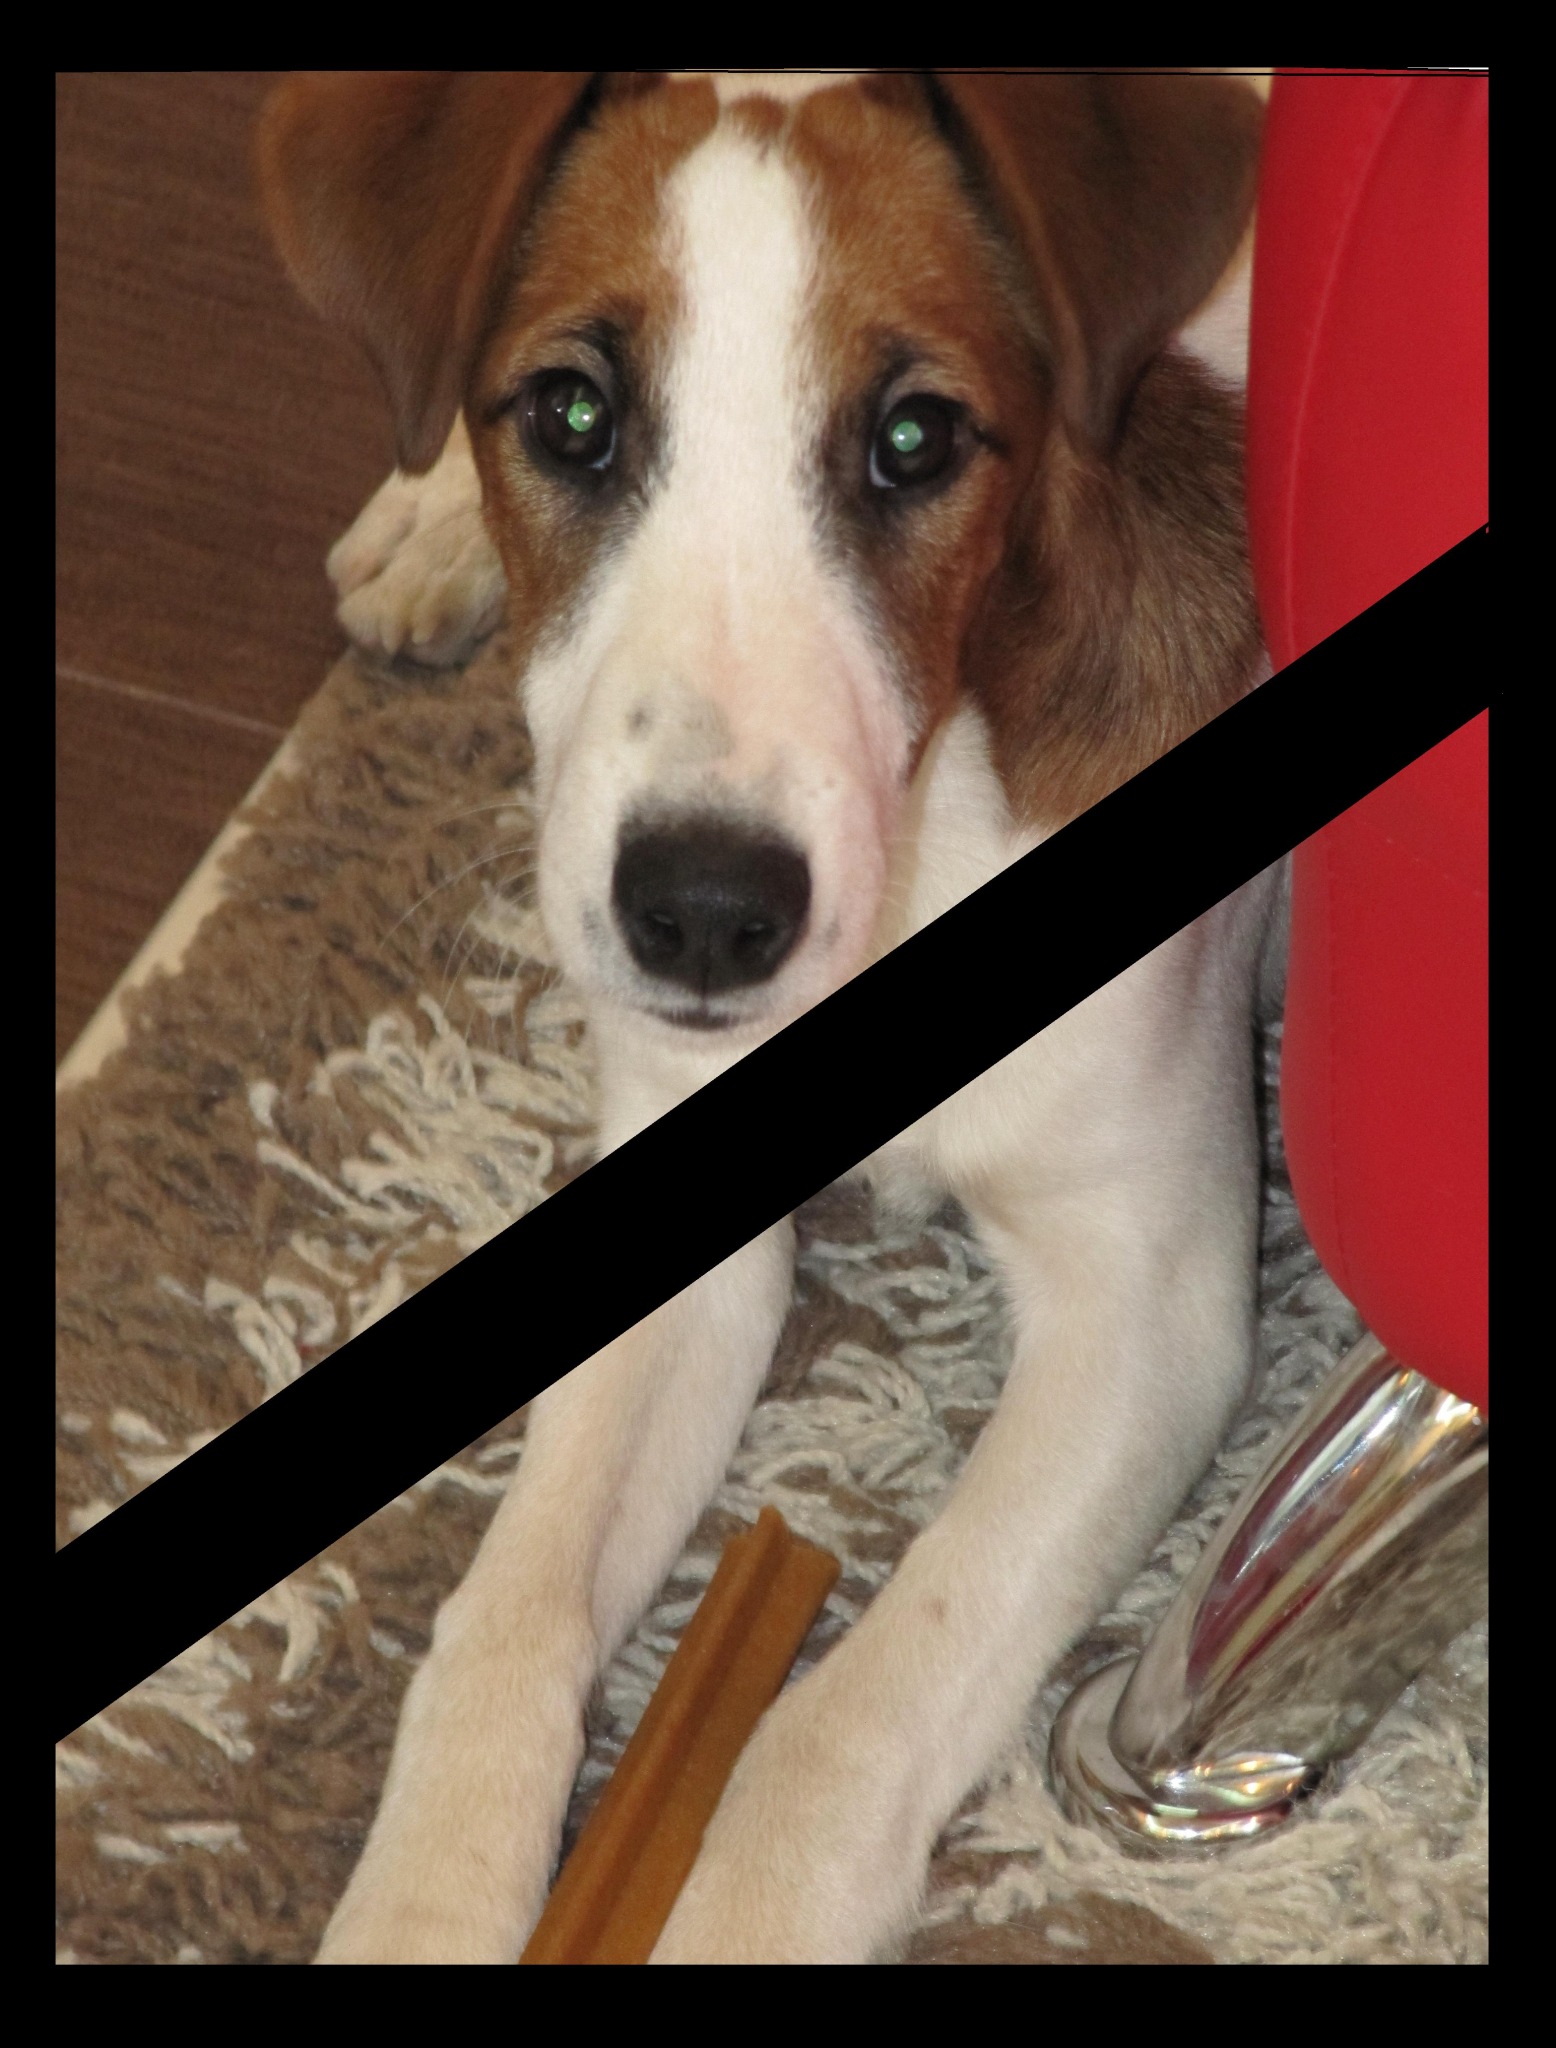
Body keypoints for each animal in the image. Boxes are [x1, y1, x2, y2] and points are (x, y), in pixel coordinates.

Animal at [258, 69, 1277, 1963]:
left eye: (917, 440)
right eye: (572, 416)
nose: (707, 913)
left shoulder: (1153, 1304)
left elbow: (841, 1716)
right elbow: (502, 1624)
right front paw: (427, 1902)